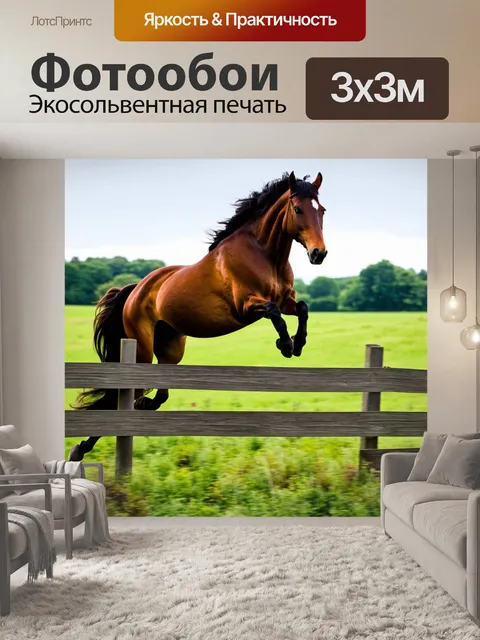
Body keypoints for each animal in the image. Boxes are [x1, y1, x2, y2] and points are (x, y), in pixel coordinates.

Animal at [69, 170, 328, 461]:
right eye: (298, 209)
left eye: (322, 210)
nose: (319, 253)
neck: (263, 255)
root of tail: (136, 288)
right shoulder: (246, 307)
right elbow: (274, 314)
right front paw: (285, 345)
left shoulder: (286, 300)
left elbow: (302, 308)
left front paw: (298, 343)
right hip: (142, 350)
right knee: (124, 394)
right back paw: (80, 449)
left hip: (171, 348)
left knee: (156, 395)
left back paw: (137, 409)